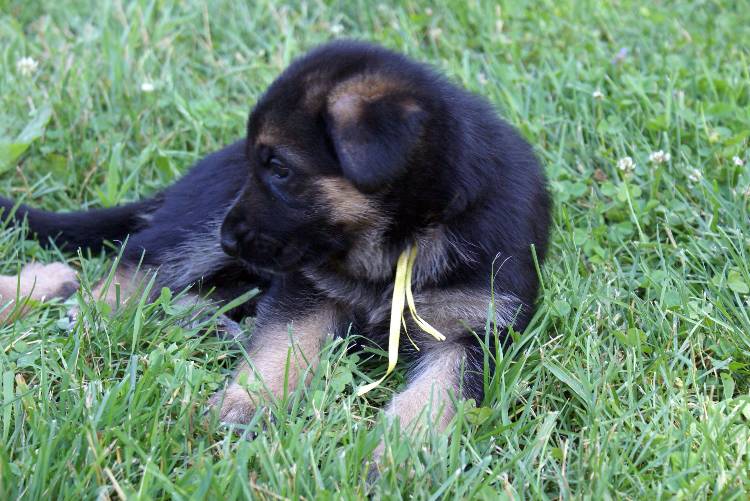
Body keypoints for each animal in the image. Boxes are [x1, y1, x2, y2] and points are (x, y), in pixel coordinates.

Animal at [0, 41, 552, 434]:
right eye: (263, 164)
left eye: (280, 168)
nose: (229, 238)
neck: (408, 235)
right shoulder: (307, 288)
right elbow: (281, 349)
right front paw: (244, 404)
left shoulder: (473, 330)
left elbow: (438, 393)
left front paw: (398, 453)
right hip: (200, 222)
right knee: (137, 269)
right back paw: (85, 308)